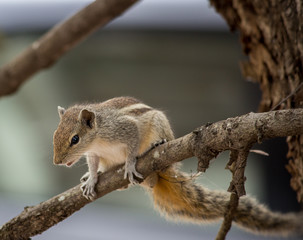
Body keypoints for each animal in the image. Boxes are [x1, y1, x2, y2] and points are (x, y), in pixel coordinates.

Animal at [53, 96, 302, 237]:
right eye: (56, 134)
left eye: (75, 139)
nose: (57, 162)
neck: (98, 137)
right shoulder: (95, 154)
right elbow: (93, 165)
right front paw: (92, 177)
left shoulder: (127, 130)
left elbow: (132, 149)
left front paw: (130, 164)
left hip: (158, 124)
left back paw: (156, 144)